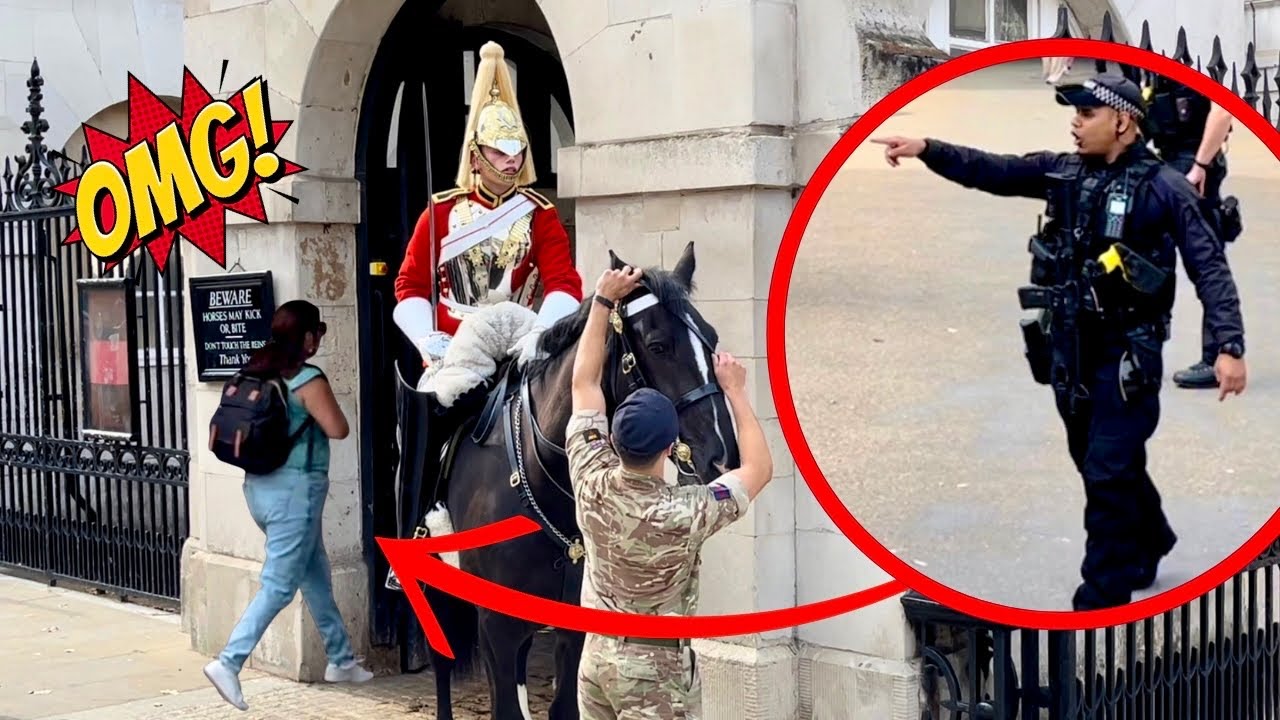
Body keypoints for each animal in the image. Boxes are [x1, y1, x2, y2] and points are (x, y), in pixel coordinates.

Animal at [409, 242, 747, 717]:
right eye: (659, 345)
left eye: (712, 339)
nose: (723, 457)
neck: (544, 477)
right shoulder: (497, 626)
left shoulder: (574, 627)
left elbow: (564, 705)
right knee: (443, 664)